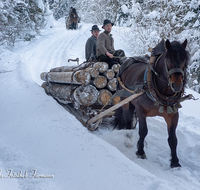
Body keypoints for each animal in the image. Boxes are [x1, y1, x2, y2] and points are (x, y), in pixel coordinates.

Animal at [114, 39, 189, 168]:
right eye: (168, 60)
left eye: (184, 60)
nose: (177, 85)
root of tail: (127, 60)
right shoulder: (141, 109)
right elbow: (143, 131)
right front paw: (140, 152)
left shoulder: (173, 115)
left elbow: (173, 139)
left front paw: (175, 162)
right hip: (126, 100)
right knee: (127, 118)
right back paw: (128, 139)